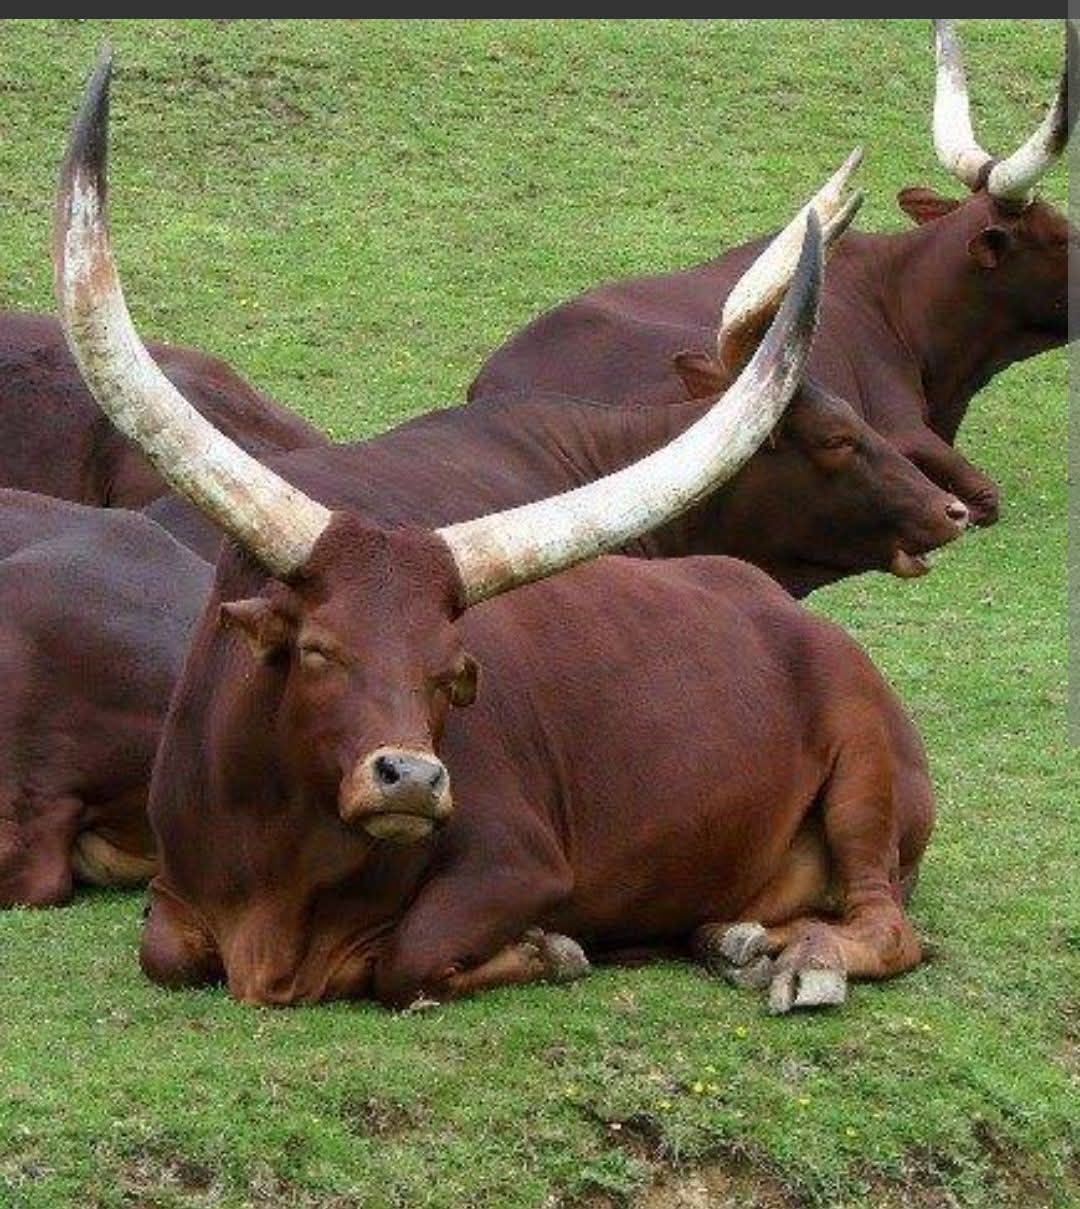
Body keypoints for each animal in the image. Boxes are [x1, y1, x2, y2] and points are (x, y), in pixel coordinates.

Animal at [59, 60, 931, 1016]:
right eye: (318, 649)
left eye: (452, 672)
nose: (412, 778)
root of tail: (815, 629)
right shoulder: (174, 895)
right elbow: (165, 953)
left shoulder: (518, 864)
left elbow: (405, 960)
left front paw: (552, 948)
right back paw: (733, 936)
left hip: (867, 772)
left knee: (889, 923)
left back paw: (803, 960)